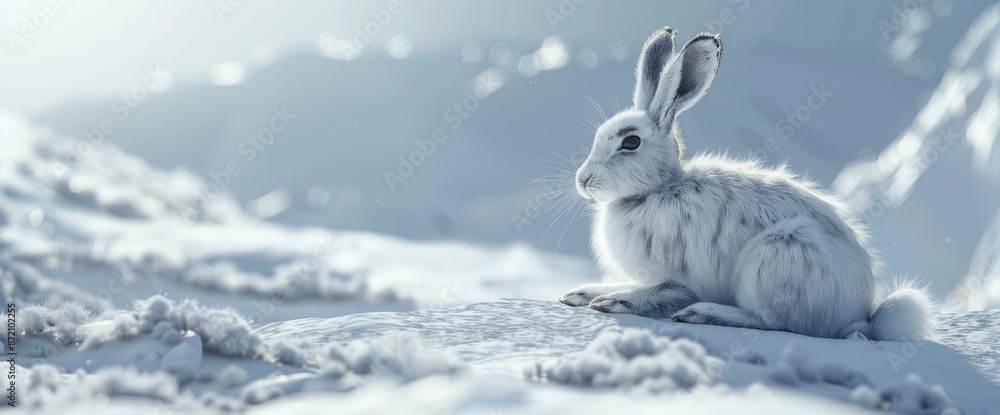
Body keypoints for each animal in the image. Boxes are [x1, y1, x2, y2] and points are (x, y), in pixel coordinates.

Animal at [558, 27, 936, 341]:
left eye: (631, 142)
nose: (584, 181)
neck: (659, 189)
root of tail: (862, 315)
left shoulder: (681, 276)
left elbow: (664, 290)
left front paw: (616, 301)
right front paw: (581, 293)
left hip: (775, 258)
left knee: (772, 321)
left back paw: (703, 314)